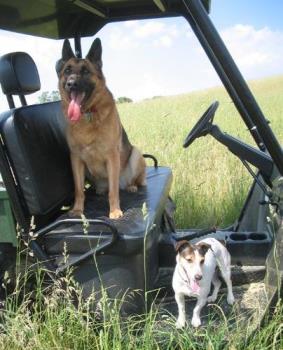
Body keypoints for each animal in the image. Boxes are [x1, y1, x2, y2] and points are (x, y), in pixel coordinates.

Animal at [57, 39, 146, 219]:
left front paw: (114, 211)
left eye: (85, 71)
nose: (71, 84)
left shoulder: (112, 157)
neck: (87, 114)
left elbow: (113, 191)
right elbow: (79, 190)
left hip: (136, 154)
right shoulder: (76, 159)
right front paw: (77, 210)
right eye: (67, 70)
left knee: (126, 183)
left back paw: (131, 186)